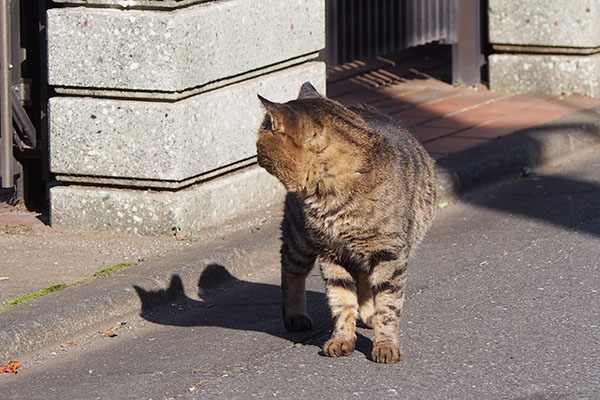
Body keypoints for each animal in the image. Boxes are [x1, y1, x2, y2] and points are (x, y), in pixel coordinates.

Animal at [255, 82, 438, 362]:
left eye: (260, 139)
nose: (254, 153)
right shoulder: (330, 254)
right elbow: (341, 302)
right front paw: (341, 339)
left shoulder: (389, 254)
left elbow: (388, 305)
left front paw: (385, 344)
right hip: (301, 238)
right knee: (290, 272)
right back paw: (295, 315)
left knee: (364, 282)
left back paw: (368, 313)